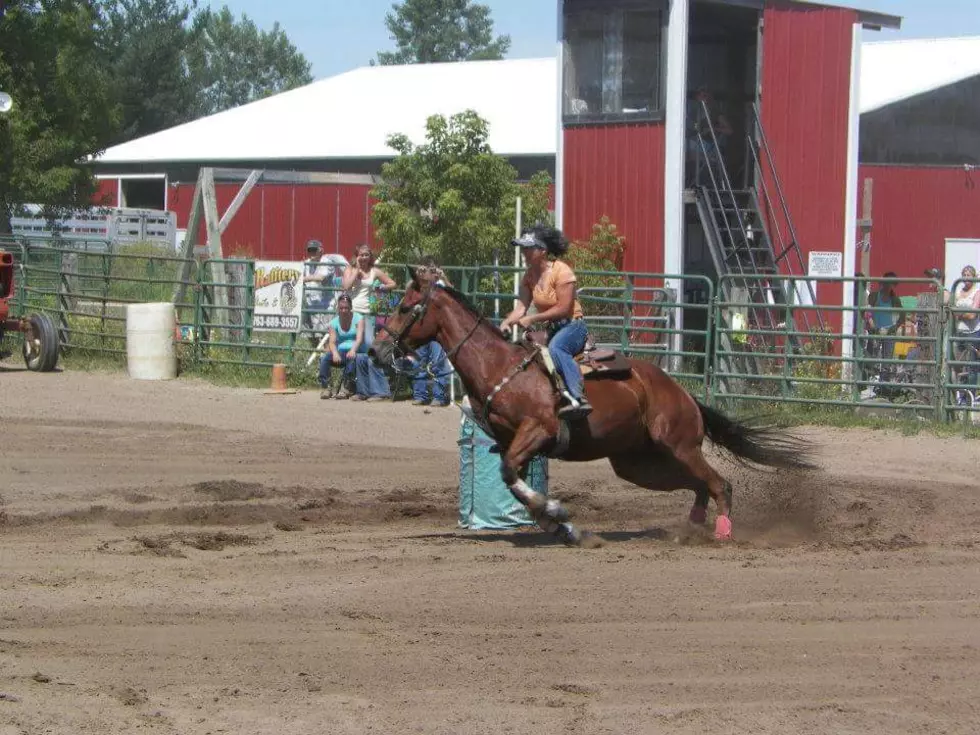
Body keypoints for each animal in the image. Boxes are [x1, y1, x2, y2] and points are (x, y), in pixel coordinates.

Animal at [368, 268, 812, 548]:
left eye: (405, 307)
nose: (376, 350)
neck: (499, 366)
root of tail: (681, 392)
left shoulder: (538, 432)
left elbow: (511, 475)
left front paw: (556, 512)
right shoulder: (513, 443)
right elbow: (515, 485)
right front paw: (563, 527)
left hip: (679, 446)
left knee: (720, 484)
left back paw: (720, 535)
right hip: (638, 464)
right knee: (700, 486)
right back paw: (689, 532)